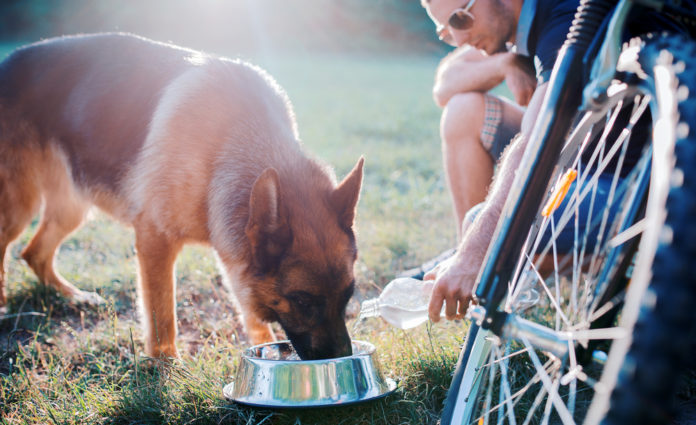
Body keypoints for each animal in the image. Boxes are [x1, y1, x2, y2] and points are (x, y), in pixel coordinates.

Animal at [1, 33, 364, 360]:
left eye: (349, 295)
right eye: (302, 300)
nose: (343, 357)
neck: (230, 141)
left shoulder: (232, 252)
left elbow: (246, 305)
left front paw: (262, 343)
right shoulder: (155, 241)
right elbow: (162, 315)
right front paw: (166, 366)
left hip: (72, 209)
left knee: (34, 253)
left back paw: (73, 296)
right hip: (19, 208)